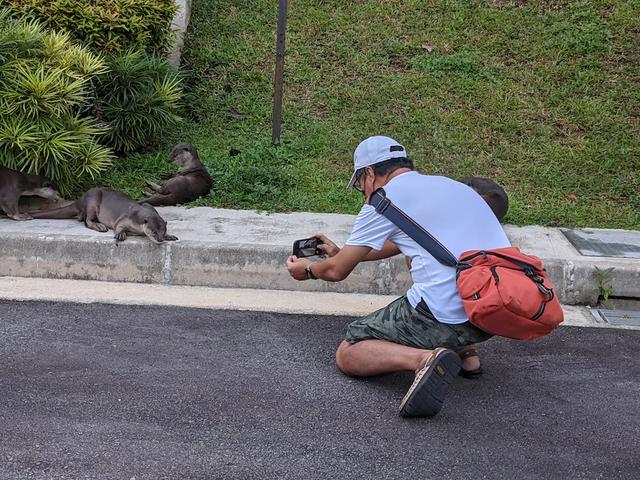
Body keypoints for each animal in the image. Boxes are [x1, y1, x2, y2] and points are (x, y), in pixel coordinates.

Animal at [31, 188, 178, 244]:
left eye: (163, 231)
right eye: (154, 232)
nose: (160, 239)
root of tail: (81, 199)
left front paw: (170, 236)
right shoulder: (125, 218)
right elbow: (118, 226)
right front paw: (120, 234)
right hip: (92, 201)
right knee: (87, 221)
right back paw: (99, 226)